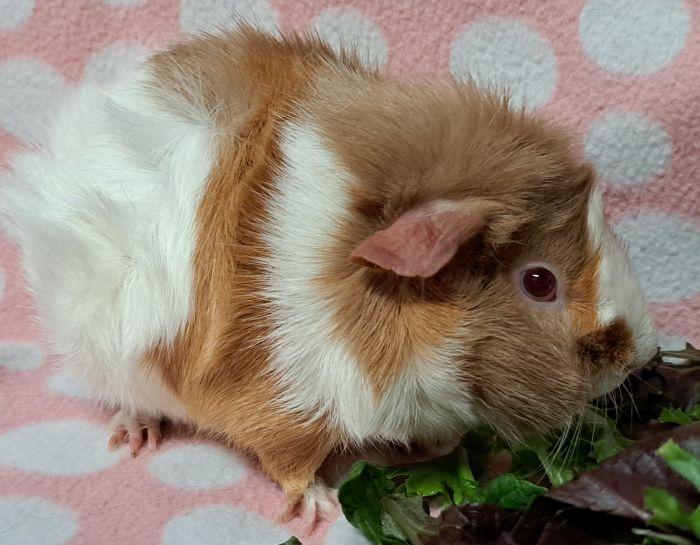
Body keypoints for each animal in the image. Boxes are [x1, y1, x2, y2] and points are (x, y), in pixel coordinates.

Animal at [0, 26, 657, 528]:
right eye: (540, 281)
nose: (636, 356)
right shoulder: (283, 401)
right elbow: (289, 461)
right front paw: (323, 510)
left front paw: (439, 448)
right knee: (126, 399)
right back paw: (134, 435)